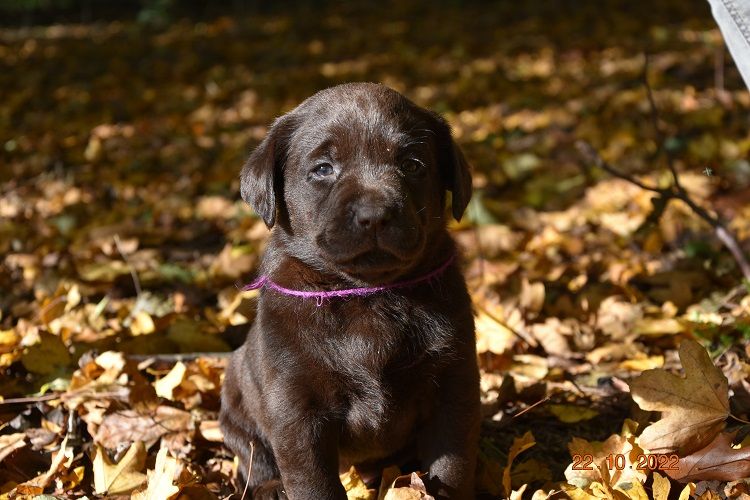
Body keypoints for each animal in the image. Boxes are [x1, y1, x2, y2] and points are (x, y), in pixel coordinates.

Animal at [220, 82, 480, 500]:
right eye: (324, 169)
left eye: (412, 165)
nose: (374, 215)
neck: (368, 295)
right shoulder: (296, 408)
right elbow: (313, 482)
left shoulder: (453, 385)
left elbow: (451, 466)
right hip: (235, 403)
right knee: (253, 456)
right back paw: (270, 487)